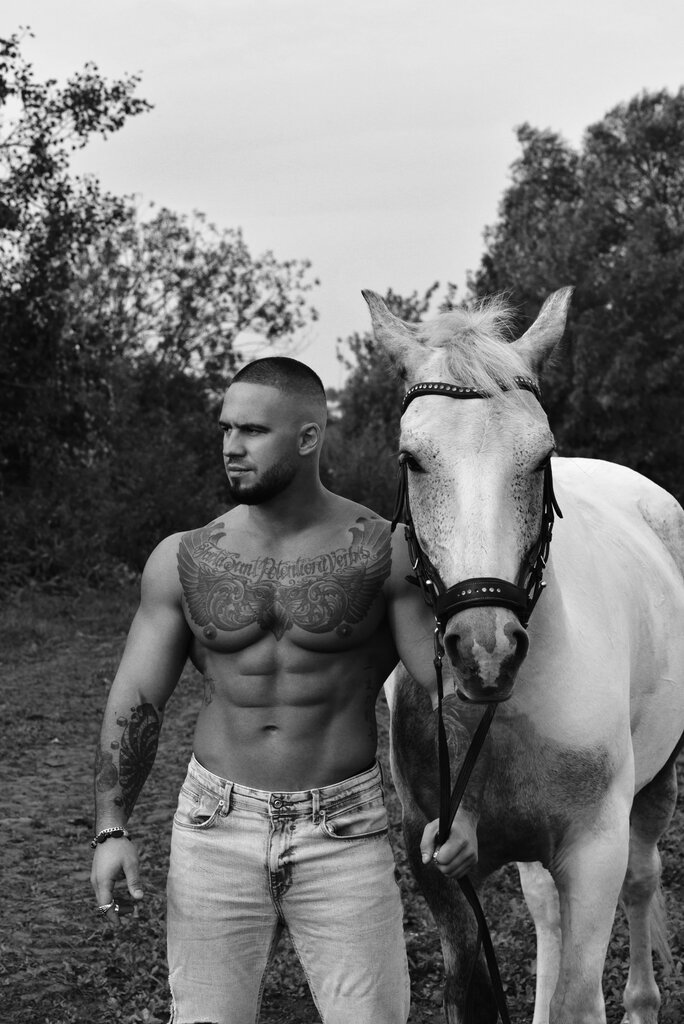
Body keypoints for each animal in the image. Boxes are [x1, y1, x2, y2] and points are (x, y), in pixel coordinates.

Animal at [363, 287, 684, 1024]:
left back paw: (643, 1002)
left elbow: (579, 998)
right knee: (544, 910)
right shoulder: (435, 858)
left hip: (655, 784)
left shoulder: (595, 852)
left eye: (541, 459)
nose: (486, 652)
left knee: (644, 879)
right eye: (411, 459)